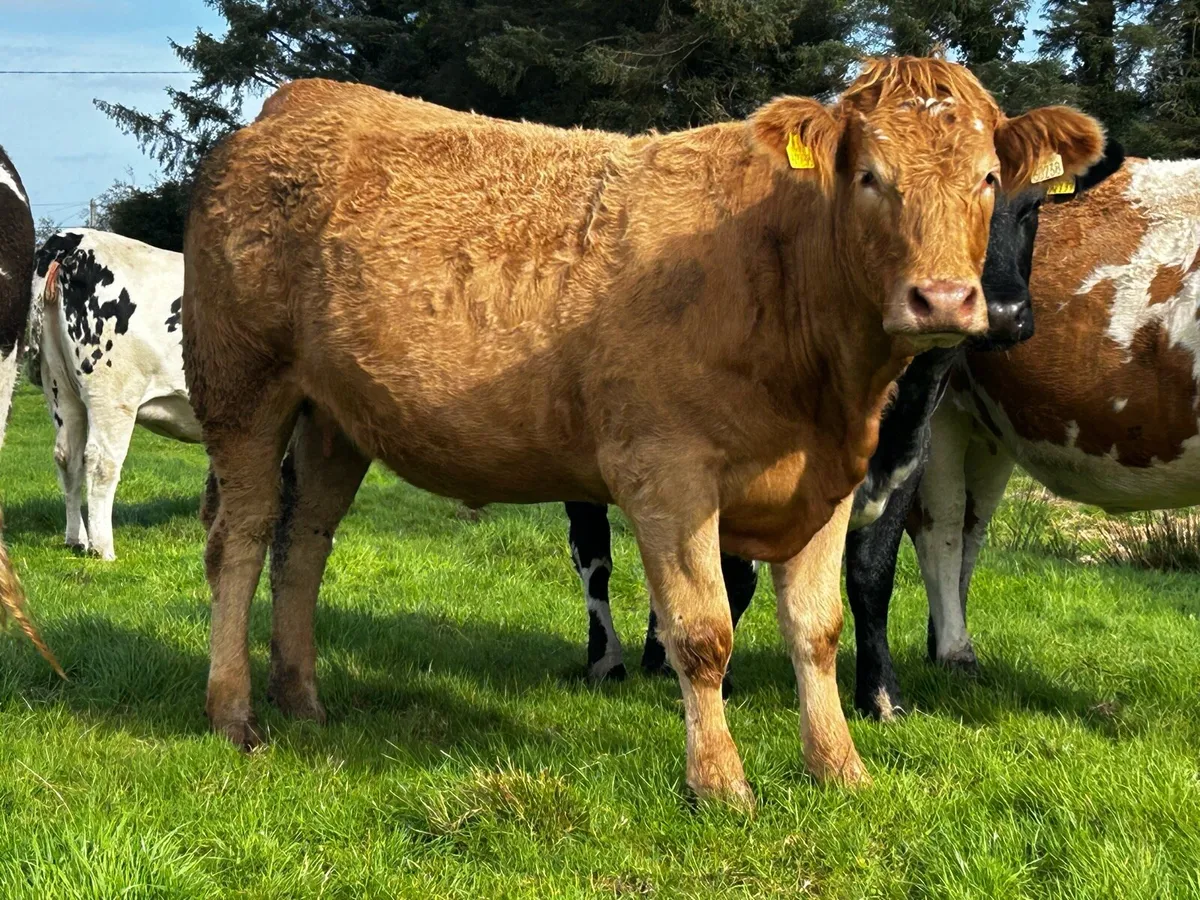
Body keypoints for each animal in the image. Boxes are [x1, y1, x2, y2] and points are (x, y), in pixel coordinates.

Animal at [31, 230, 200, 561]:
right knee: (100, 462)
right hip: (112, 394)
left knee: (67, 455)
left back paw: (76, 540)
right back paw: (103, 549)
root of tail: (72, 239)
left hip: (58, 383)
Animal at [566, 142, 1126, 707]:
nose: (1002, 311)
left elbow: (871, 577)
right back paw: (607, 659)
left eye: (1032, 207)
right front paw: (719, 686)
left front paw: (880, 694)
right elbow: (733, 581)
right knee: (594, 553)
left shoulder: (908, 463)